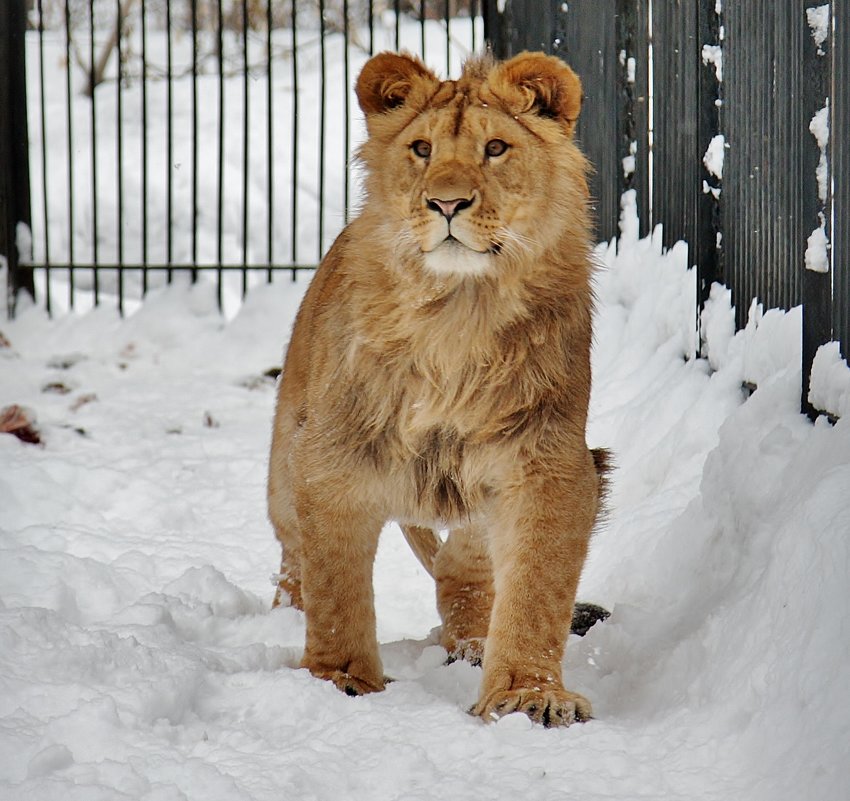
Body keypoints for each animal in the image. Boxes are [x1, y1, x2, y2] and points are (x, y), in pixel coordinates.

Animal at [268, 48, 608, 724]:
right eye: (421, 149)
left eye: (496, 148)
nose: (446, 204)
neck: (455, 312)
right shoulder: (333, 457)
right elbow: (335, 585)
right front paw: (339, 679)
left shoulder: (545, 461)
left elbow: (537, 586)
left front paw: (528, 694)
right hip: (283, 463)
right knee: (293, 555)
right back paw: (285, 616)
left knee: (462, 567)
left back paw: (471, 644)